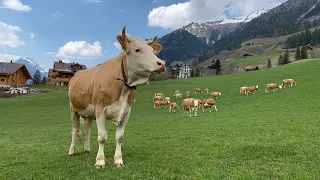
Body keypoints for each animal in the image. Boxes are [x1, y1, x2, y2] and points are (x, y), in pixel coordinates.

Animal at [66, 26, 164, 169]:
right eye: (137, 50)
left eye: (152, 51)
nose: (161, 63)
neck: (123, 88)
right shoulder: (100, 110)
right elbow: (102, 137)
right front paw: (100, 161)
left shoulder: (126, 112)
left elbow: (119, 137)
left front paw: (118, 160)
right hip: (73, 109)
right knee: (74, 129)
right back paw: (72, 151)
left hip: (89, 113)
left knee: (88, 129)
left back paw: (87, 148)